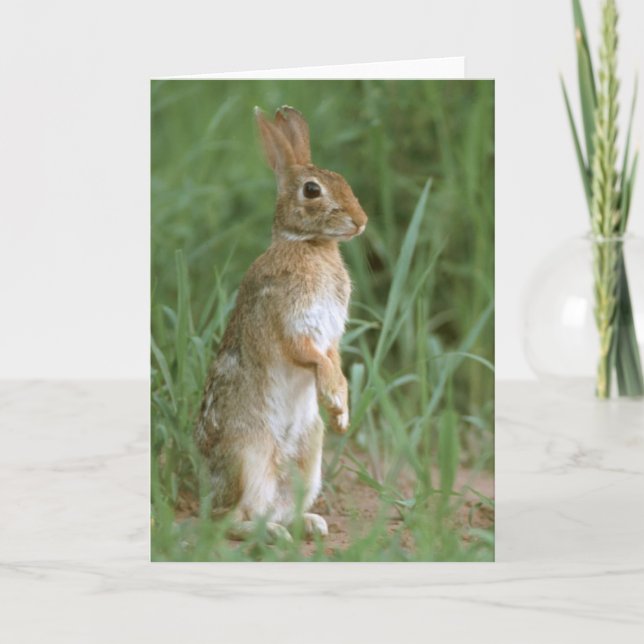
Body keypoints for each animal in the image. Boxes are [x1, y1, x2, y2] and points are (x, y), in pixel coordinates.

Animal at [194, 105, 368, 542]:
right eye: (312, 190)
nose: (361, 221)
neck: (307, 244)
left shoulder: (330, 333)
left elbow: (333, 358)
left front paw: (341, 411)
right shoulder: (291, 320)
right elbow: (310, 355)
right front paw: (334, 397)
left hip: (309, 455)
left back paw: (310, 525)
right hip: (248, 455)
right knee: (229, 520)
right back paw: (271, 535)